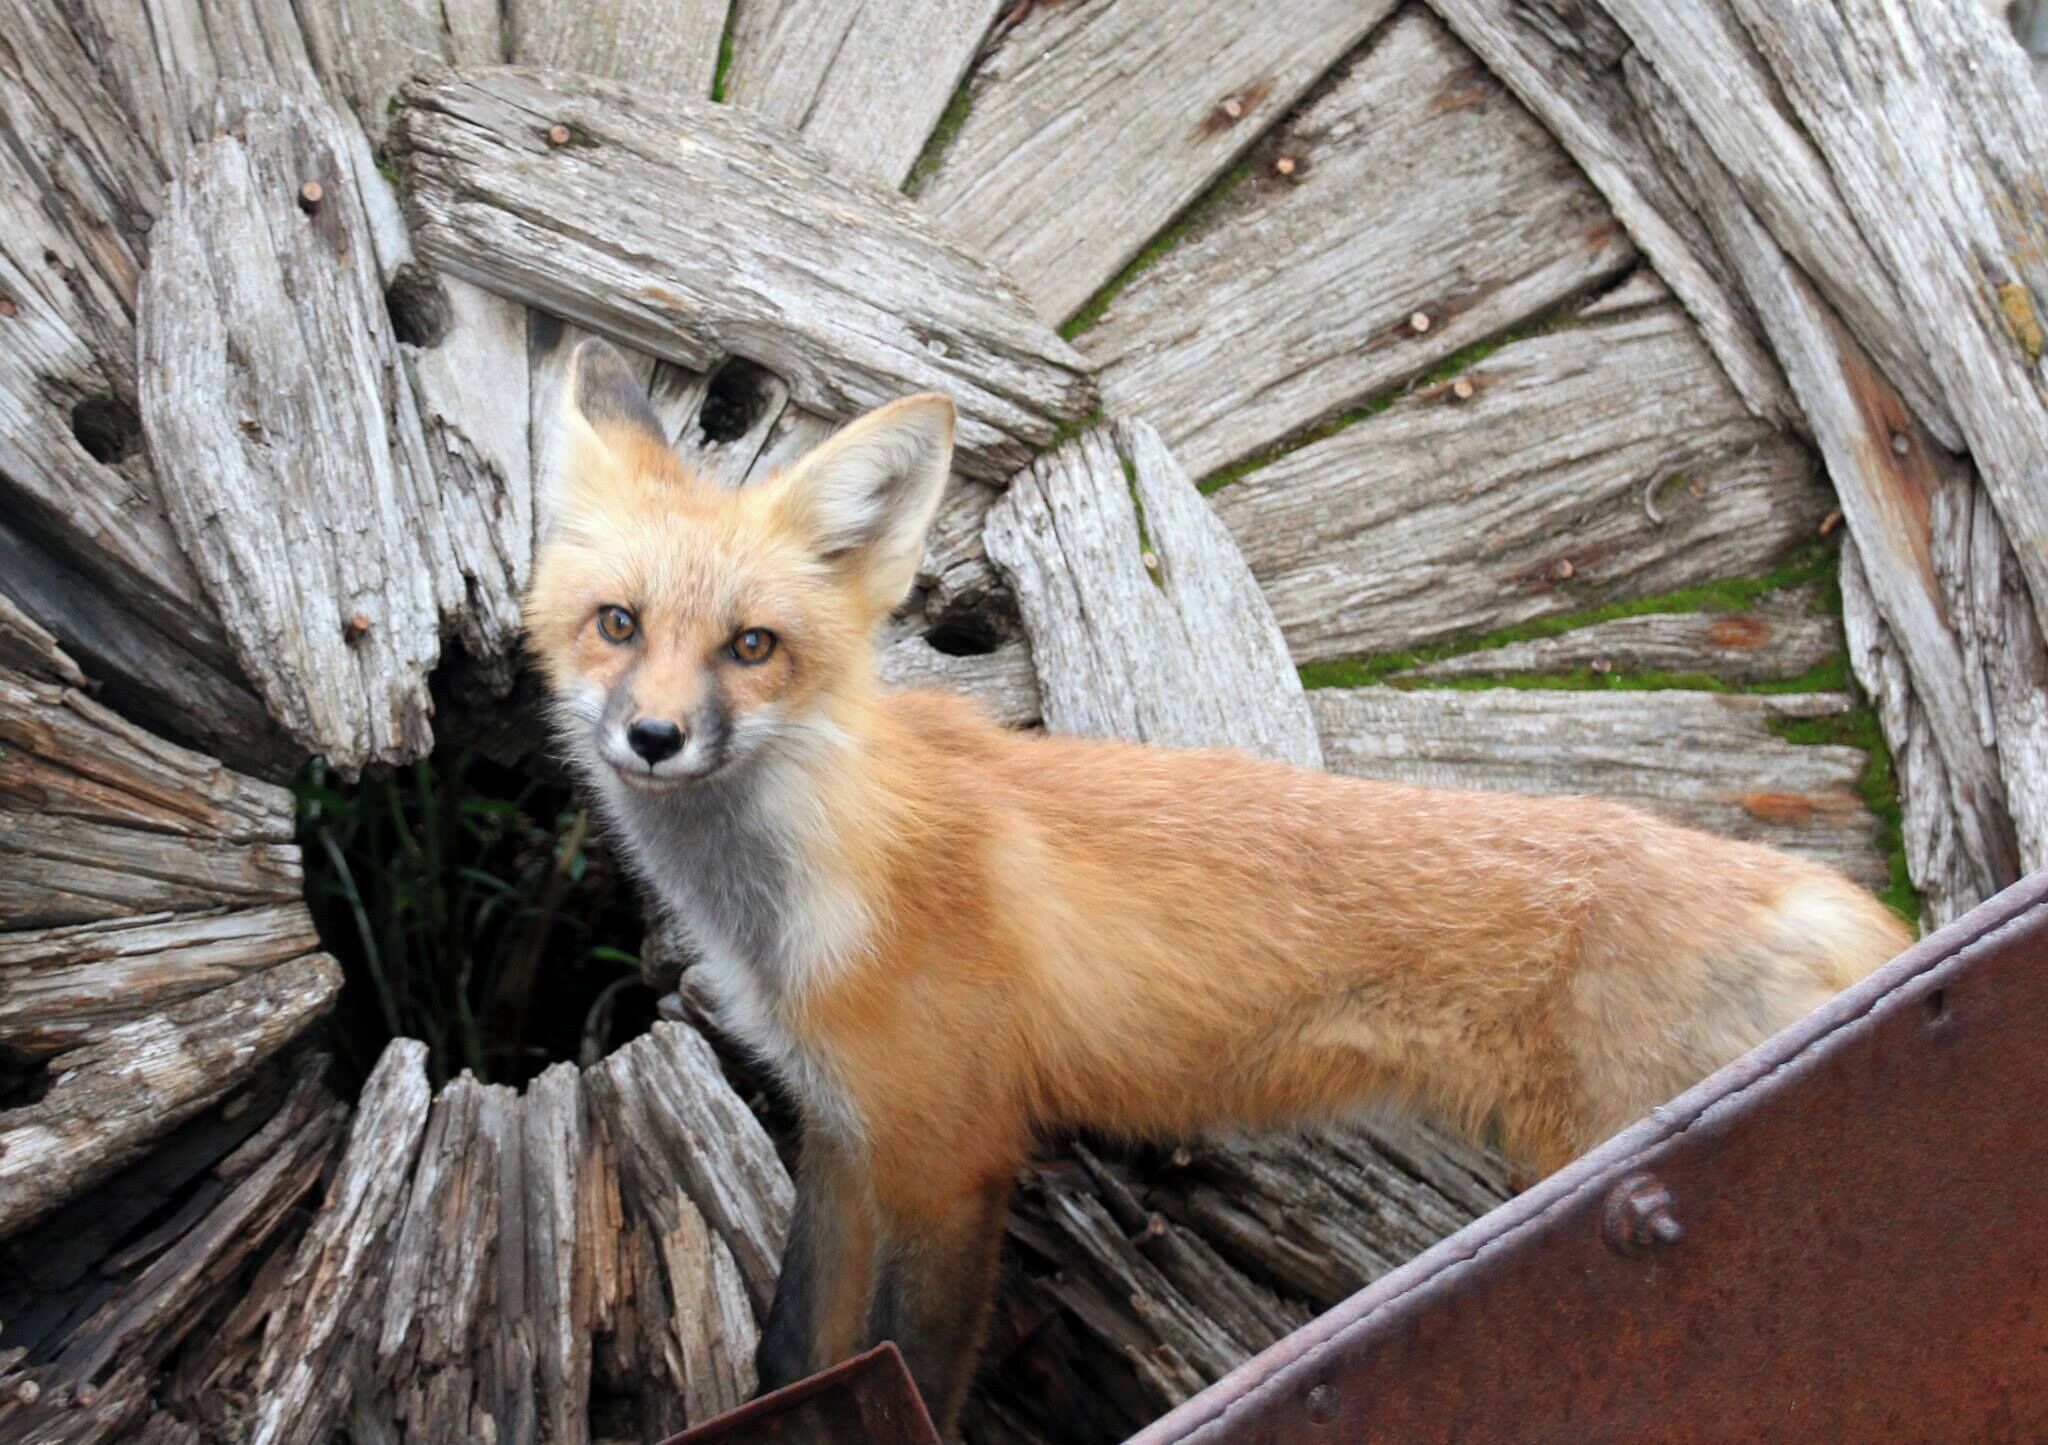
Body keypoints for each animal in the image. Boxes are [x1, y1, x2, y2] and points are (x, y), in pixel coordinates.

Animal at [526, 338, 1914, 1438]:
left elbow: (907, 1364)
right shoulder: (843, 1130)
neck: (812, 887)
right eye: (616, 623)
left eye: (751, 647)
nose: (651, 737)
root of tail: (1821, 897)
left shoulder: (949, 1152)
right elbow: (793, 1354)